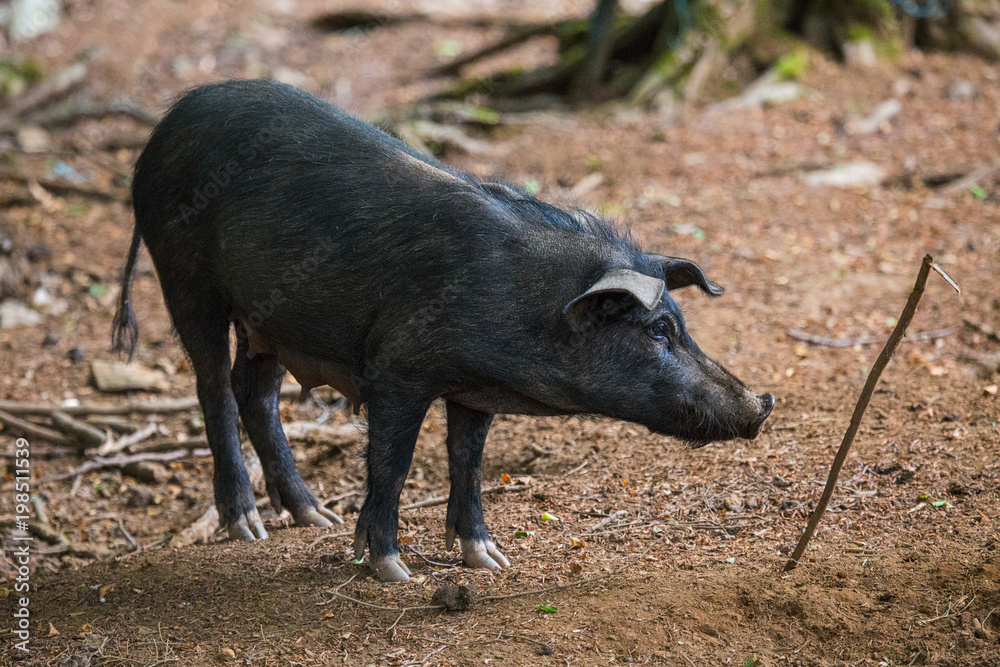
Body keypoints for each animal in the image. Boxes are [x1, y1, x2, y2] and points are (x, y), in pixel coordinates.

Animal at [113, 80, 773, 582]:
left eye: (682, 326)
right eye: (659, 331)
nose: (761, 402)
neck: (525, 303)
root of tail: (162, 130)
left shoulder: (473, 390)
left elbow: (469, 461)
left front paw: (491, 561)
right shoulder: (396, 369)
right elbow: (393, 463)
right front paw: (392, 570)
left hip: (269, 316)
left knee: (257, 393)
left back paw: (314, 518)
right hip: (184, 275)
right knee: (214, 389)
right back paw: (248, 528)